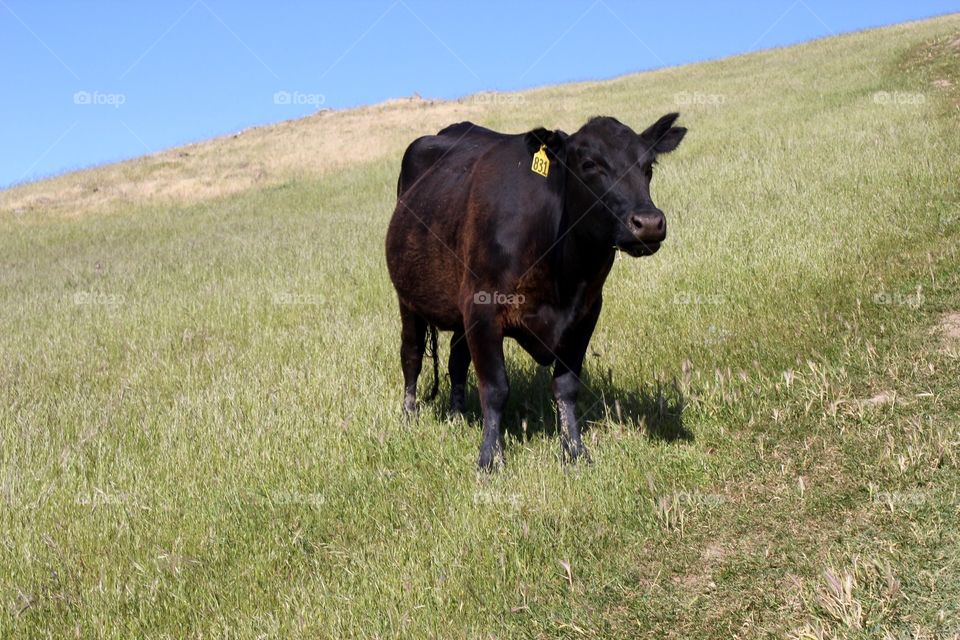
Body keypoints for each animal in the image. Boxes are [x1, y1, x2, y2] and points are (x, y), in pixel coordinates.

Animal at [385, 113, 687, 470]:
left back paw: (457, 415)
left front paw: (574, 451)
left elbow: (566, 387)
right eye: (589, 164)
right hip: (408, 299)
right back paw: (408, 417)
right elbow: (495, 388)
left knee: (457, 360)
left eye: (648, 166)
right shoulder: (482, 308)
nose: (649, 223)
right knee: (412, 356)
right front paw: (490, 458)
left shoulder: (586, 313)